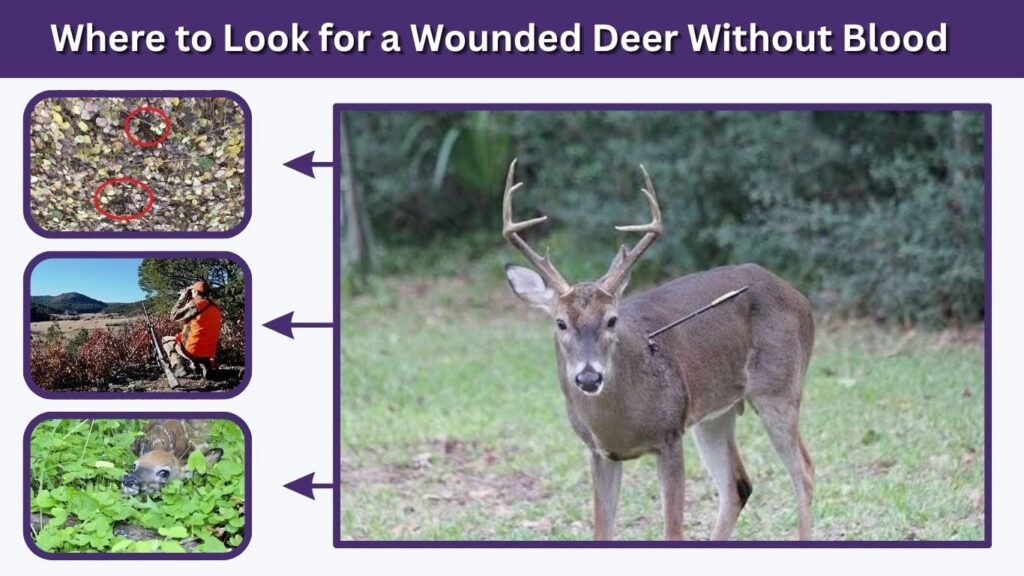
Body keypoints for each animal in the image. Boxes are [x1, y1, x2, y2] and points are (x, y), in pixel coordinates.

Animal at [502, 159, 815, 541]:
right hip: (715, 411)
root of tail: (799, 297)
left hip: (779, 388)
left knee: (804, 472)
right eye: (560, 322)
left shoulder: (669, 436)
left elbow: (672, 531)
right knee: (737, 485)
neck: (619, 421)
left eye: (612, 319)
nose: (589, 377)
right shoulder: (599, 452)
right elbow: (602, 532)